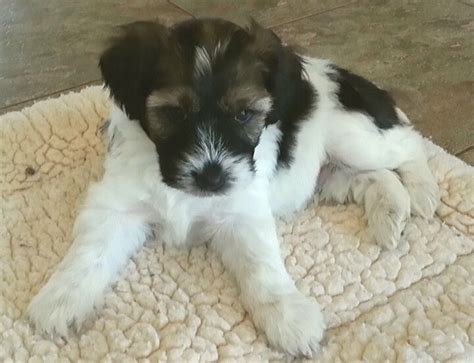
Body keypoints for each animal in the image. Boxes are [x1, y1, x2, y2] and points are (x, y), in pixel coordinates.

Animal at [27, 18, 438, 356]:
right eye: (174, 113)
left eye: (244, 114)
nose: (211, 176)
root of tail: (354, 78)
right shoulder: (117, 205)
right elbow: (90, 254)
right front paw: (61, 300)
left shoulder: (242, 209)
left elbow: (261, 265)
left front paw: (287, 316)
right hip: (333, 174)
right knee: (379, 177)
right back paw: (391, 217)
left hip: (353, 137)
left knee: (410, 145)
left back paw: (423, 193)